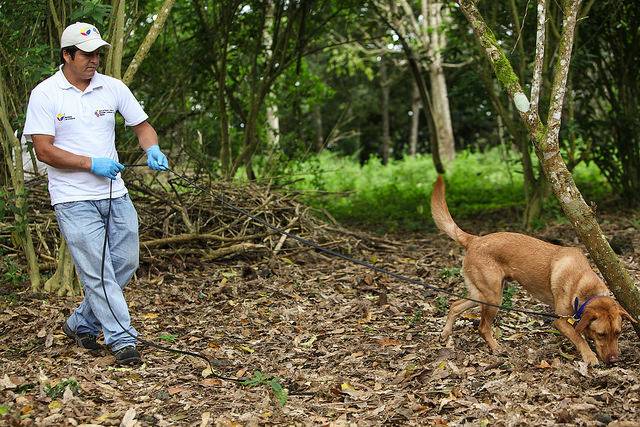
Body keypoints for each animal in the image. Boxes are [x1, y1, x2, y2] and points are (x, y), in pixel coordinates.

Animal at [430, 176, 636, 366]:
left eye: (618, 333)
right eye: (601, 334)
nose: (615, 360)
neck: (583, 283)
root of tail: (475, 239)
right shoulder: (560, 321)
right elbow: (579, 337)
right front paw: (589, 356)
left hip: (482, 294)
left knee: (455, 305)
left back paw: (445, 333)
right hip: (493, 298)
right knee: (482, 327)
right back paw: (496, 348)